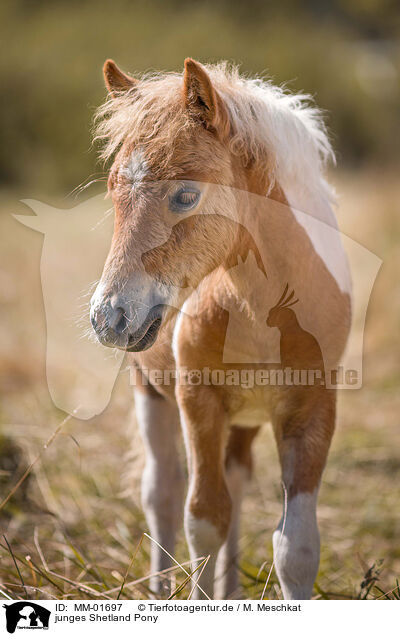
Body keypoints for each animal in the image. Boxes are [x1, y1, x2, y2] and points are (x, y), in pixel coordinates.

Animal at [90, 57, 350, 600]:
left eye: (187, 194)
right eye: (112, 186)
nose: (108, 317)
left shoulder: (313, 408)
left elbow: (296, 547)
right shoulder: (198, 399)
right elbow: (203, 520)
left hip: (244, 421)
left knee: (235, 485)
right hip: (151, 390)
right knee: (162, 494)